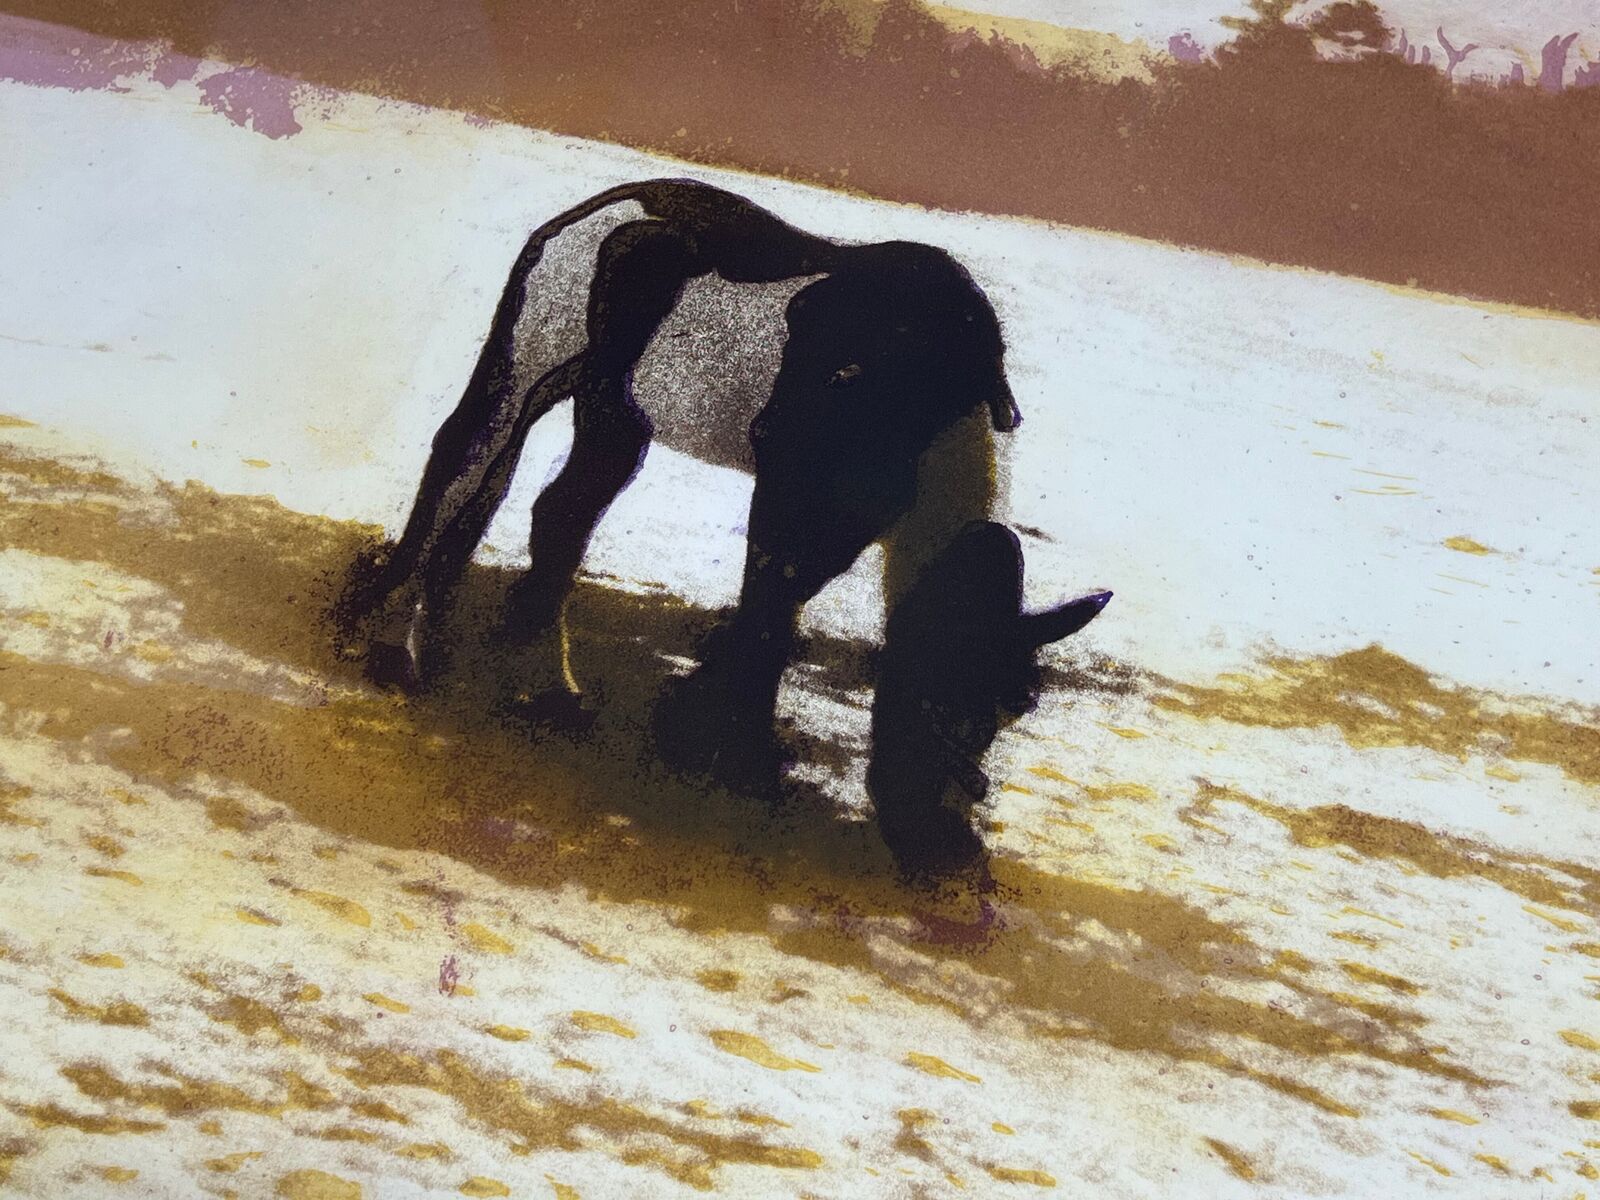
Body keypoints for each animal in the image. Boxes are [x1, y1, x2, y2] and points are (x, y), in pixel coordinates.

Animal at [337, 176, 1109, 873]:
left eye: (1014, 709)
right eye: (940, 701)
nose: (948, 853)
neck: (924, 396)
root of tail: (596, 208)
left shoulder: (849, 517)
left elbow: (776, 604)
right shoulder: (799, 493)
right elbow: (772, 606)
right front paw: (737, 760)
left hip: (616, 408)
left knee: (558, 513)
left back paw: (544, 689)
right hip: (529, 363)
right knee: (463, 461)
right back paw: (393, 648)